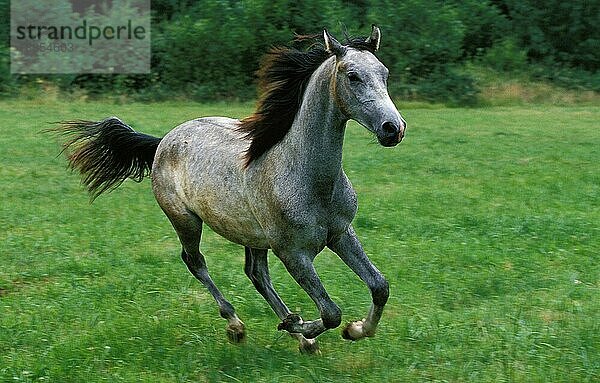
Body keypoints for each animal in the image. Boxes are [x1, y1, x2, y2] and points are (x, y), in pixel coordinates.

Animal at [54, 26, 406, 354]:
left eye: (385, 73)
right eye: (353, 76)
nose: (394, 129)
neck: (308, 177)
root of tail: (163, 141)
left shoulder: (341, 233)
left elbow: (380, 286)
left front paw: (354, 330)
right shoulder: (293, 253)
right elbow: (331, 312)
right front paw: (305, 325)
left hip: (253, 236)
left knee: (256, 274)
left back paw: (297, 334)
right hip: (186, 221)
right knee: (195, 261)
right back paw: (239, 326)